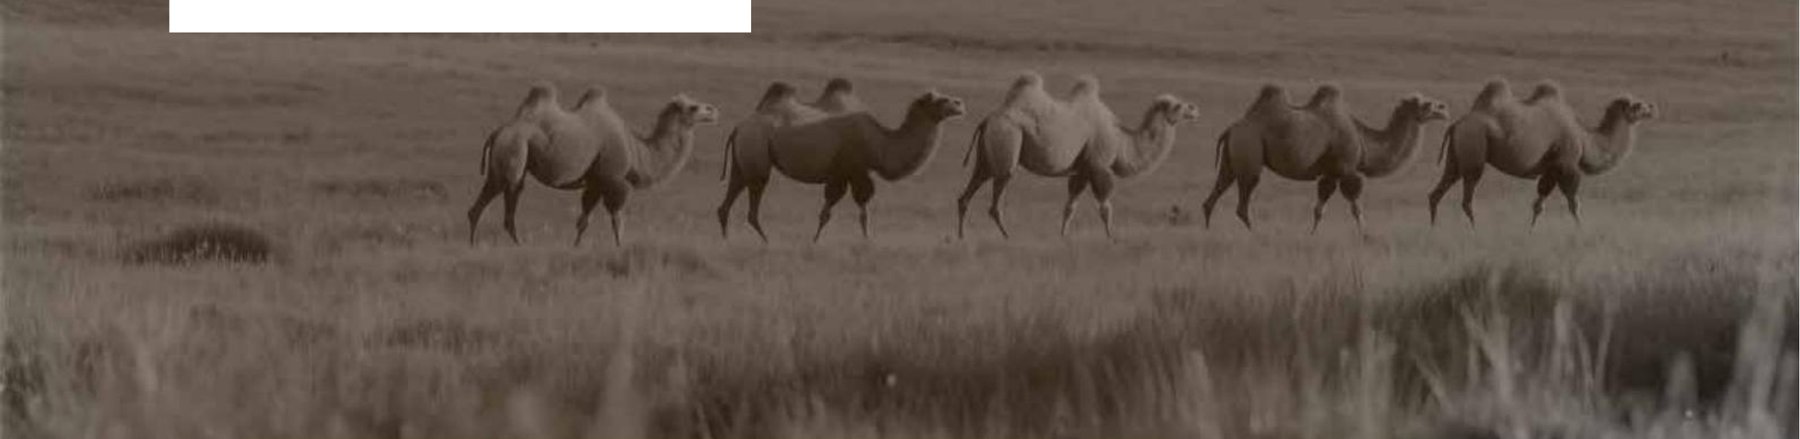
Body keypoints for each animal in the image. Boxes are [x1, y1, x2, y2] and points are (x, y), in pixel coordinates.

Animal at [467, 82, 719, 246]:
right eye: (693, 107)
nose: (714, 110)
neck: (637, 151)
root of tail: (498, 131)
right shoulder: (614, 180)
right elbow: (618, 219)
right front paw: (619, 249)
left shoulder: (596, 182)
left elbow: (583, 220)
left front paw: (575, 248)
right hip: (515, 150)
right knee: (509, 201)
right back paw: (518, 246)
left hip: (499, 165)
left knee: (479, 205)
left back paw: (473, 245)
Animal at [717, 79, 967, 242]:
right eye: (941, 100)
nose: (960, 104)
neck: (880, 143)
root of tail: (739, 127)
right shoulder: (851, 171)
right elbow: (848, 211)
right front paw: (856, 242)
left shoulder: (850, 174)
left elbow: (841, 211)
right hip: (756, 153)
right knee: (753, 204)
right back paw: (766, 242)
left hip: (743, 160)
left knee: (727, 200)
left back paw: (727, 241)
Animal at [955, 73, 1201, 239]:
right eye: (1179, 106)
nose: (1195, 108)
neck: (1121, 139)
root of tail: (988, 119)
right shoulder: (1100, 165)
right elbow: (1105, 206)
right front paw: (1112, 239)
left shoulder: (1082, 169)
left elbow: (1070, 206)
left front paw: (1063, 236)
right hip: (1008, 139)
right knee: (996, 198)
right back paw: (1008, 236)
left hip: (986, 157)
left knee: (967, 193)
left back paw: (961, 236)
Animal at [1200, 84, 1450, 231]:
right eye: (1428, 105)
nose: (1444, 108)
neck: (1363, 140)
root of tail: (1231, 129)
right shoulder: (1347, 170)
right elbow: (1355, 207)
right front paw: (1365, 236)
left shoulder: (1330, 173)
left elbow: (1319, 209)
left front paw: (1313, 235)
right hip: (1249, 152)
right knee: (1243, 201)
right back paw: (1257, 234)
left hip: (1231, 159)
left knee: (1213, 196)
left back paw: (1208, 232)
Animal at [1427, 79, 1656, 226]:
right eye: (1639, 106)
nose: (1653, 108)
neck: (1584, 138)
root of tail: (1457, 124)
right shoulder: (1567, 164)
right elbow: (1574, 203)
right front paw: (1581, 229)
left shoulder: (1551, 169)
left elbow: (1539, 204)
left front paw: (1531, 232)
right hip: (1474, 150)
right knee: (1467, 199)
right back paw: (1475, 231)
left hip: (1455, 158)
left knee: (1436, 192)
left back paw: (1433, 230)